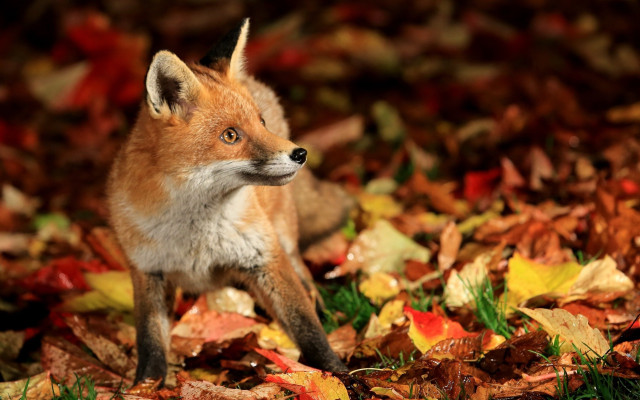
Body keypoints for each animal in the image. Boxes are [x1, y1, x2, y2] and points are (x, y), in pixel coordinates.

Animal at [107, 19, 352, 383]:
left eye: (260, 123)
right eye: (231, 136)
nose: (300, 154)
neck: (196, 236)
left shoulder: (265, 258)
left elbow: (306, 326)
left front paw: (338, 374)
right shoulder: (148, 270)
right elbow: (150, 342)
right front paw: (146, 386)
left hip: (283, 234)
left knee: (303, 272)